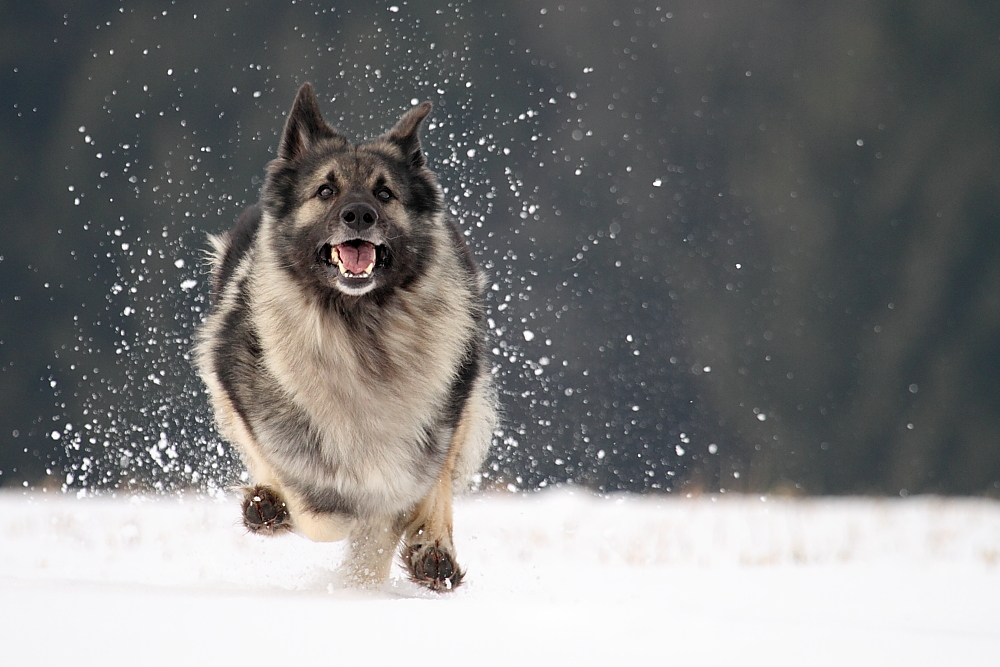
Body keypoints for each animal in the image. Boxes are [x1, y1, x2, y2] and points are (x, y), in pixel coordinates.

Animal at [192, 82, 496, 588]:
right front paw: (282, 508)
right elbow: (316, 509)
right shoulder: (254, 408)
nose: (358, 215)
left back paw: (433, 551)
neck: (357, 328)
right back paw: (268, 504)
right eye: (325, 190)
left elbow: (404, 504)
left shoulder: (423, 437)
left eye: (385, 193)